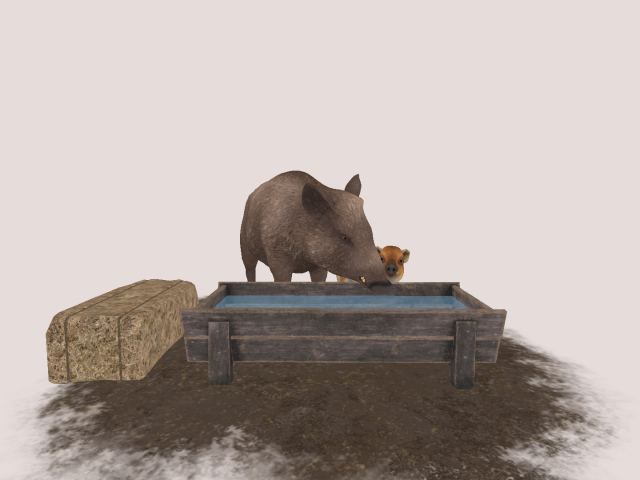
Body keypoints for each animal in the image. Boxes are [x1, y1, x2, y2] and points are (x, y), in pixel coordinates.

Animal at [240, 171, 394, 294]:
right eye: (344, 237)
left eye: (369, 230)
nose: (386, 286)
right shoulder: (277, 257)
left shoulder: (318, 267)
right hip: (244, 242)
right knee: (249, 268)